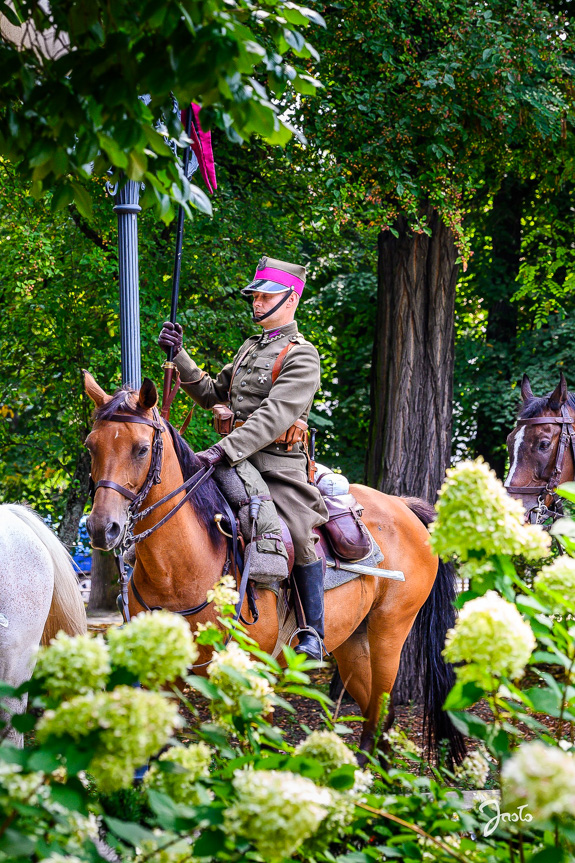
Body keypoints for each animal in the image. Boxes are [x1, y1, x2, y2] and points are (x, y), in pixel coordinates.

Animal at [83, 372, 466, 764]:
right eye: (91, 446)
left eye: (141, 449)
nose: (102, 528)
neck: (180, 571)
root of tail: (403, 506)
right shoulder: (164, 679)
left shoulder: (256, 674)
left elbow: (261, 752)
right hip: (352, 642)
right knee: (379, 717)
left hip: (389, 633)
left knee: (378, 713)